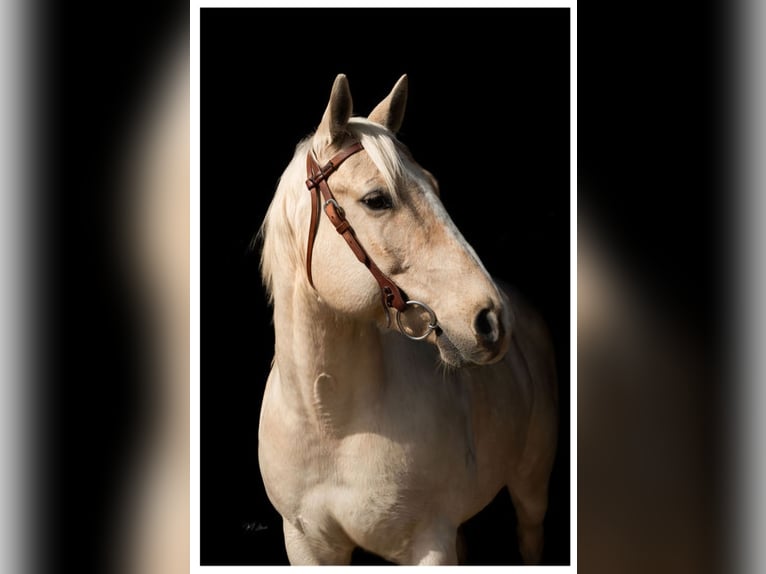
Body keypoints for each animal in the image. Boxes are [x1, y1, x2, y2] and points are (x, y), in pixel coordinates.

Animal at [256, 73, 559, 565]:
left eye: (434, 186)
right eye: (376, 200)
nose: (492, 321)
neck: (332, 422)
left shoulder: (428, 544)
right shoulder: (306, 545)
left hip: (531, 491)